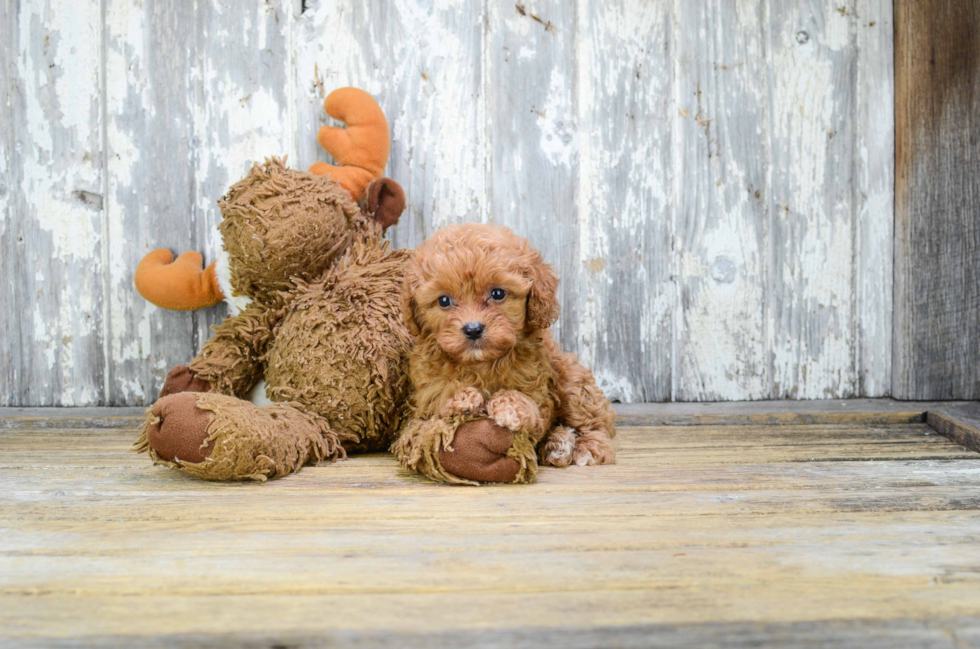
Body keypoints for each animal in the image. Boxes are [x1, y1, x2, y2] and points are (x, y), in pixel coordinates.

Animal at [398, 221, 612, 470]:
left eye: (498, 293)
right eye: (444, 300)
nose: (473, 329)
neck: (481, 362)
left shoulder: (538, 390)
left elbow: (529, 404)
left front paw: (509, 407)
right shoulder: (422, 394)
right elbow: (436, 393)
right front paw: (460, 396)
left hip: (572, 380)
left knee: (594, 421)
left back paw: (581, 447)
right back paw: (558, 445)